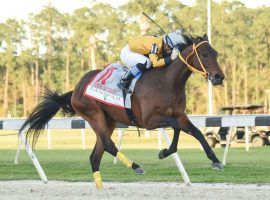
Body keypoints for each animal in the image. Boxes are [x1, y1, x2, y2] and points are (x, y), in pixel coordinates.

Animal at [20, 33, 225, 188]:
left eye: (215, 53)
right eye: (204, 54)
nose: (219, 77)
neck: (167, 82)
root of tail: (76, 88)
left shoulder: (179, 115)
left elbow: (195, 132)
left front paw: (214, 159)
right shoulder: (149, 121)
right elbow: (176, 127)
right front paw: (166, 151)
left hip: (109, 120)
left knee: (95, 155)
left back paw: (101, 187)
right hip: (94, 116)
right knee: (109, 145)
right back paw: (135, 166)